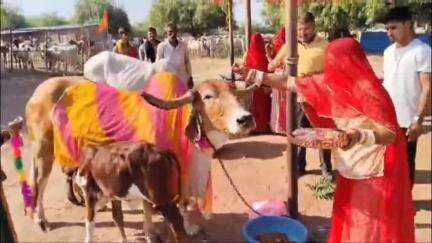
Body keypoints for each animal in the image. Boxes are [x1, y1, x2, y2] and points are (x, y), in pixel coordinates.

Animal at [24, 74, 256, 235]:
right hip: (43, 149)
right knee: (39, 182)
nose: (245, 119)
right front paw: (150, 230)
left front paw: (189, 227)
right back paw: (39, 219)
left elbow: (183, 204)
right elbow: (149, 207)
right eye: (208, 96)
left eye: (234, 93)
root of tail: (38, 92)